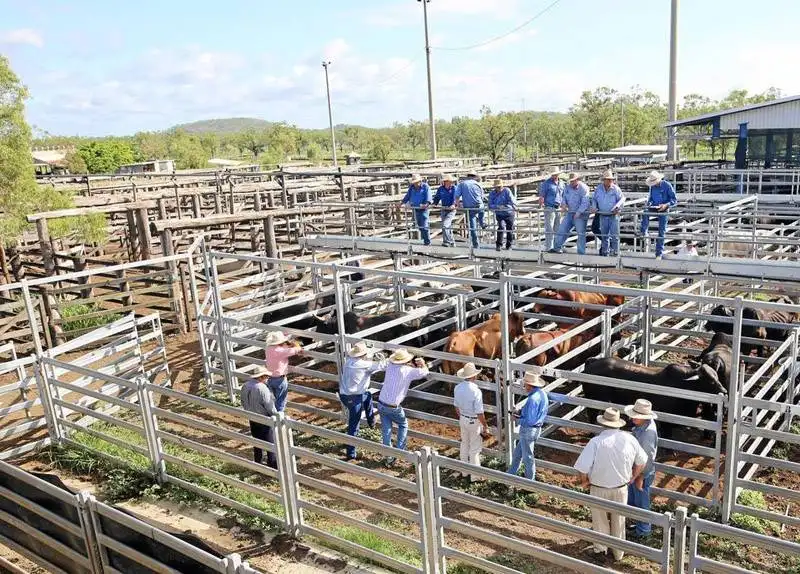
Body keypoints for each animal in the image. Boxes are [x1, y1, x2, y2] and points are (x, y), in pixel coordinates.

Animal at [580, 356, 728, 440]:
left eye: (716, 376)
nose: (724, 391)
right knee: (592, 415)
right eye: (710, 381)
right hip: (595, 400)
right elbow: (667, 433)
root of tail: (592, 362)